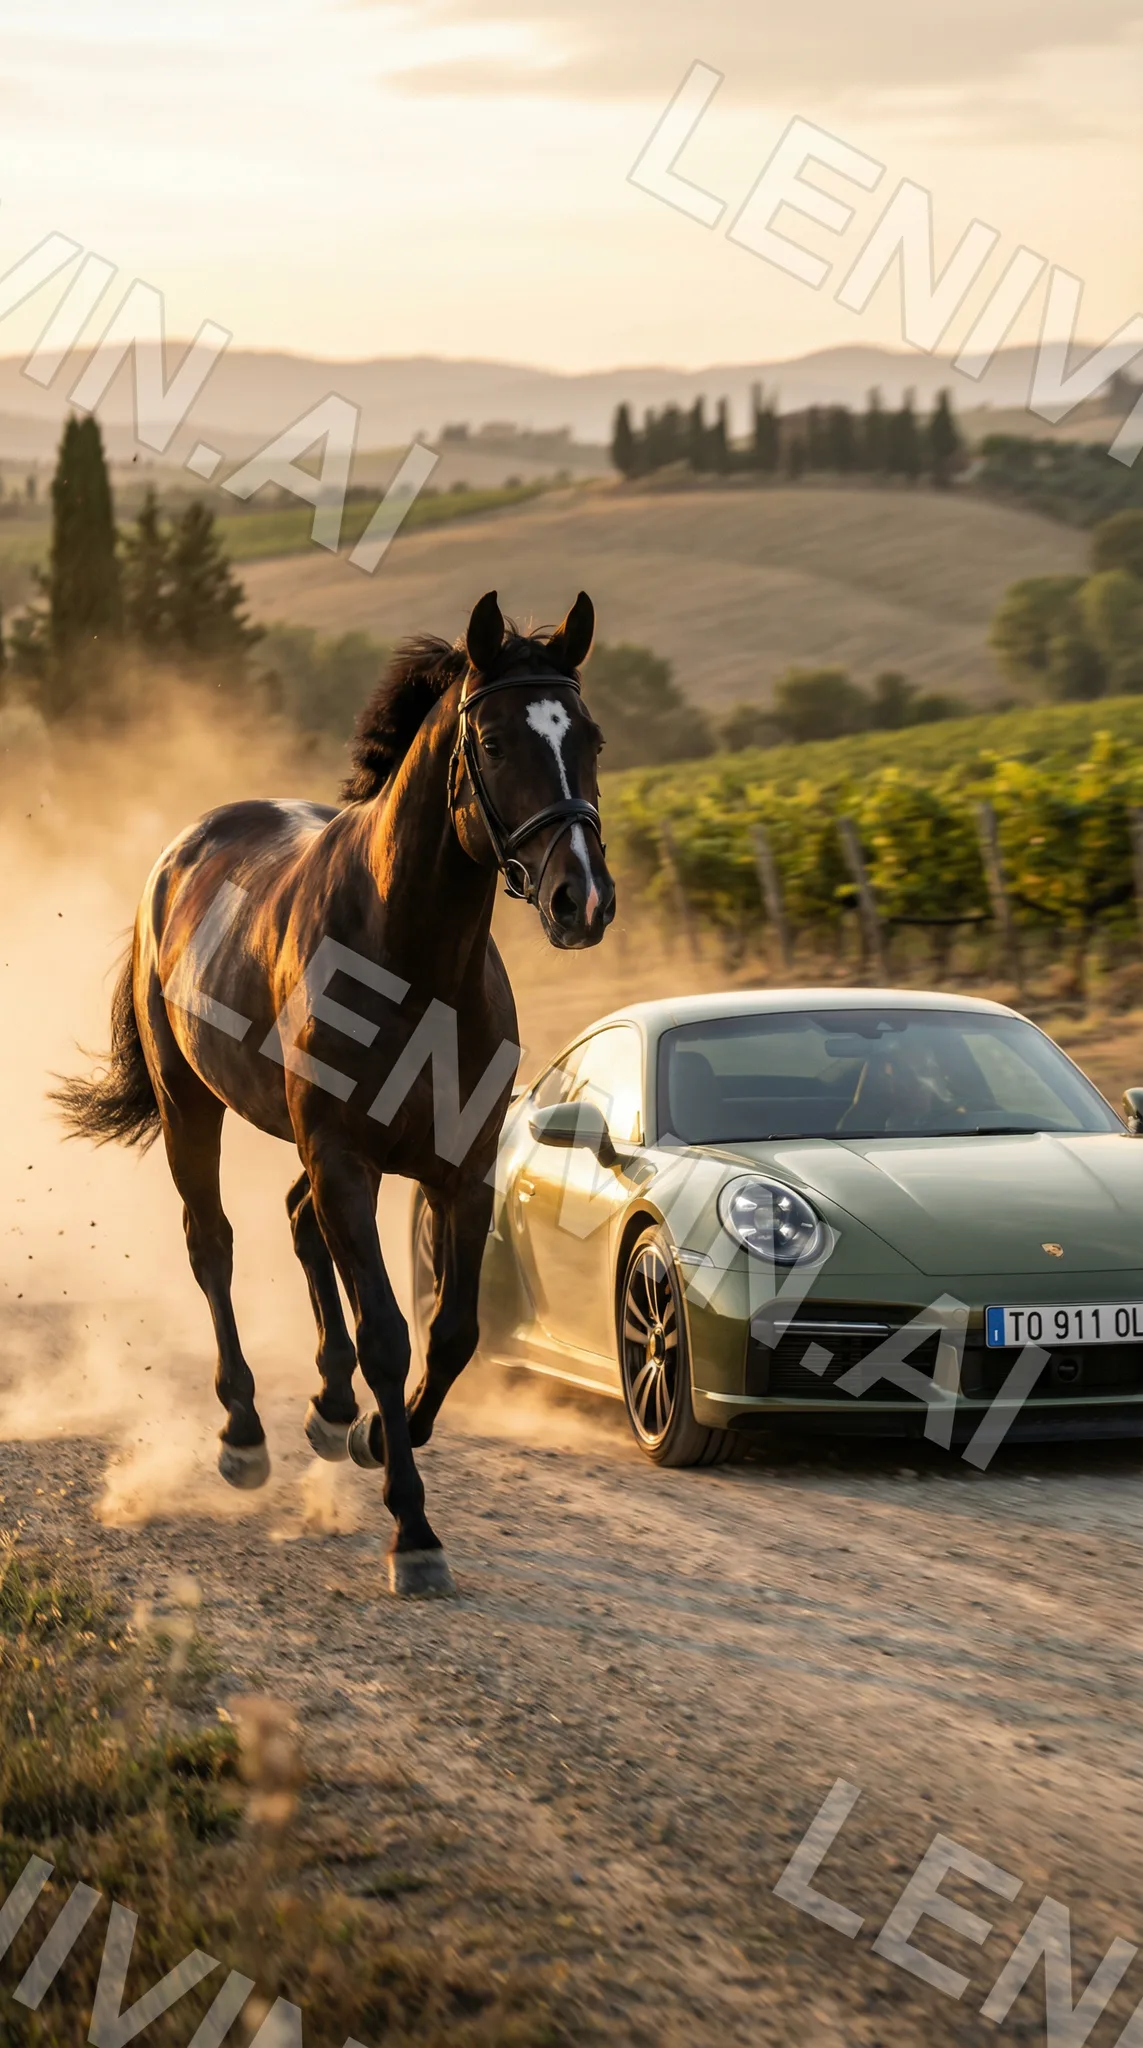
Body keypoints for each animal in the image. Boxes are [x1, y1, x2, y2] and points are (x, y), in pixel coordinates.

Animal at [56, 590, 615, 1595]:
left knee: (295, 1223)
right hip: (193, 1107)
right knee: (214, 1245)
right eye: (495, 742)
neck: (412, 963)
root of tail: (177, 855)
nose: (580, 900)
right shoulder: (347, 1160)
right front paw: (413, 1531)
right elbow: (390, 1329)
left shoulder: (460, 1169)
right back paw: (244, 1435)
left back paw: (328, 1406)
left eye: (588, 736)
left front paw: (369, 1436)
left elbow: (453, 1333)